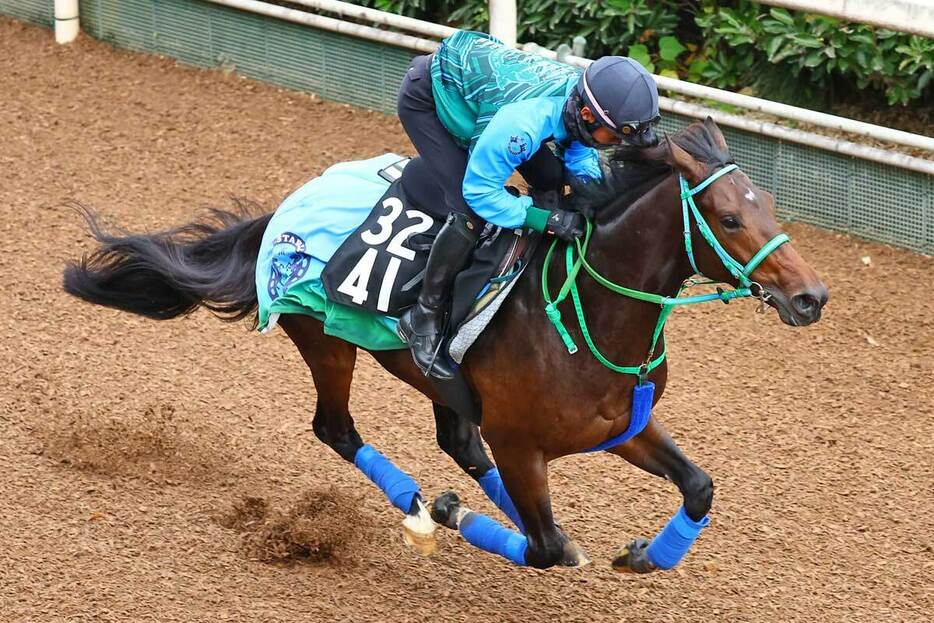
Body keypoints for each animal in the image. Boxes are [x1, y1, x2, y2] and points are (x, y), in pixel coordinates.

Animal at [64, 119, 828, 572]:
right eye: (729, 218)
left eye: (768, 207)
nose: (811, 296)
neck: (585, 316)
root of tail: (289, 205)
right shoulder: (523, 443)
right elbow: (545, 548)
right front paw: (453, 513)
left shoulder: (621, 424)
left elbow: (698, 486)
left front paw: (644, 553)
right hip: (327, 342)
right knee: (336, 428)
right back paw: (420, 506)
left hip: (438, 381)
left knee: (458, 441)